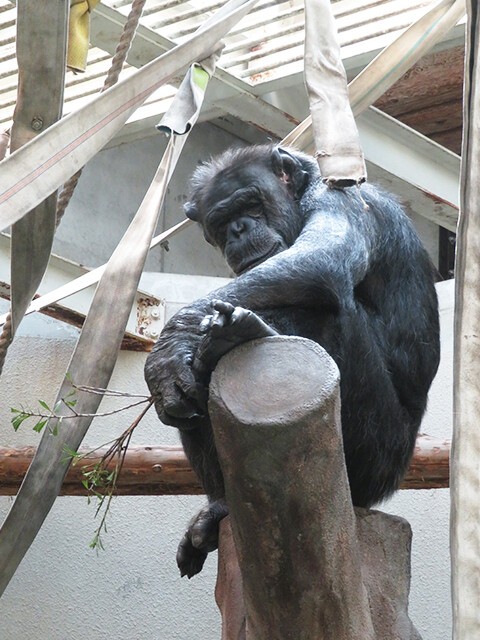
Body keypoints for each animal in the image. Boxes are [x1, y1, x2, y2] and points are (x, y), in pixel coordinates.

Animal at [144, 145, 440, 580]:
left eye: (252, 204)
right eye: (222, 220)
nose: (239, 229)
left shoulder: (338, 196)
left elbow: (323, 257)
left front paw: (173, 337)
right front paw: (173, 354)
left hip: (375, 456)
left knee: (322, 305)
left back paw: (241, 333)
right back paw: (219, 507)